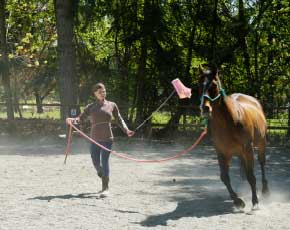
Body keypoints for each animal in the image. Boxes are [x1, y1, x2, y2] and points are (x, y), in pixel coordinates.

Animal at [198, 65, 268, 209]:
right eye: (199, 84)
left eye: (214, 85)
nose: (205, 108)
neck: (228, 122)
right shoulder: (222, 152)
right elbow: (224, 177)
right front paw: (238, 201)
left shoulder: (248, 150)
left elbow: (251, 176)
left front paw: (255, 202)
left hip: (261, 144)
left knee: (262, 163)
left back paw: (265, 190)